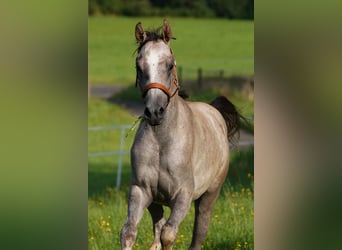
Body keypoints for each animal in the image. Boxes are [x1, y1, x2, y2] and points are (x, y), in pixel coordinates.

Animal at [120, 20, 240, 250]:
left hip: (209, 196)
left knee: (198, 232)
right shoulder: (142, 191)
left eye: (169, 65)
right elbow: (129, 232)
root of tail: (214, 112)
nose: (154, 111)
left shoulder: (183, 195)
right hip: (156, 203)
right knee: (157, 229)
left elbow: (168, 234)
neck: (162, 142)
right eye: (139, 66)